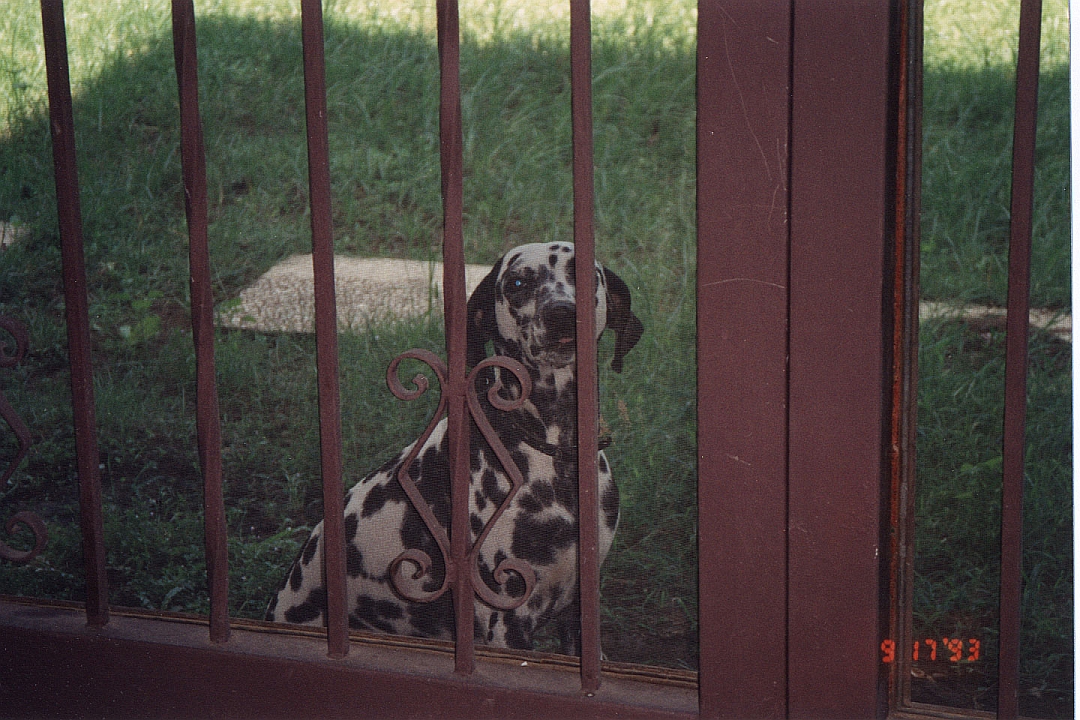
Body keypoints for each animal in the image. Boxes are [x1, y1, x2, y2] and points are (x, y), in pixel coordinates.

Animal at [267, 240, 639, 651]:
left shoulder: (578, 613)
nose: (561, 312)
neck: (554, 455)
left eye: (586, 273)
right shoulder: (507, 621)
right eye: (518, 282)